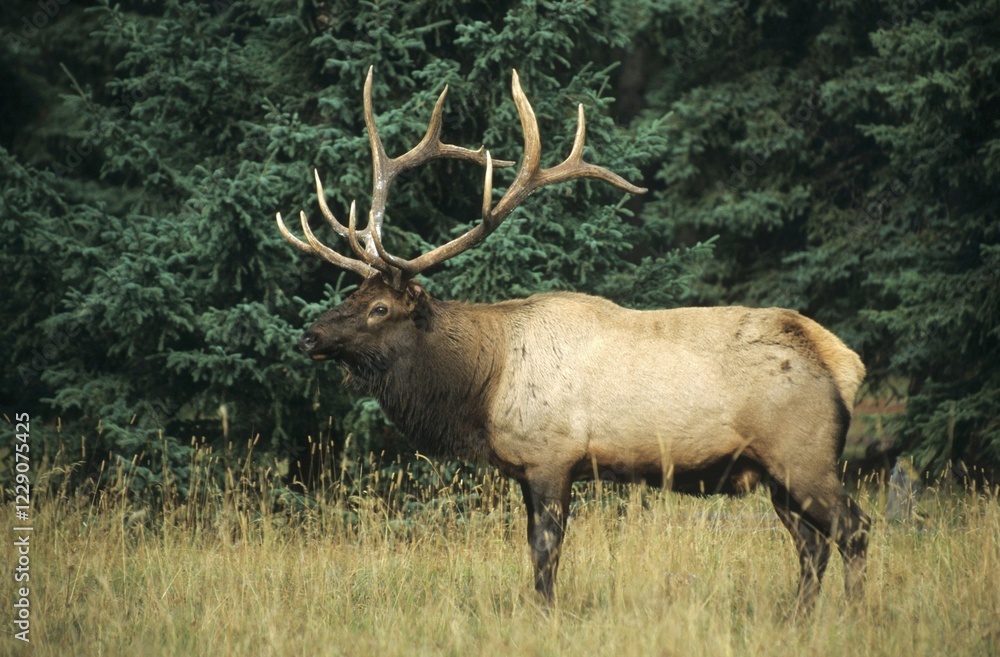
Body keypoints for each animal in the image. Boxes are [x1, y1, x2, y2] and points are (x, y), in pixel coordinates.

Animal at [275, 67, 871, 612]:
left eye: (379, 308)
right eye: (353, 292)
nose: (308, 336)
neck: (483, 386)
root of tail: (844, 364)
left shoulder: (551, 456)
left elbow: (546, 552)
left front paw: (546, 614)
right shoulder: (525, 468)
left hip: (804, 454)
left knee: (854, 529)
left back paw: (855, 614)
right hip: (777, 474)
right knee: (813, 545)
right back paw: (799, 617)